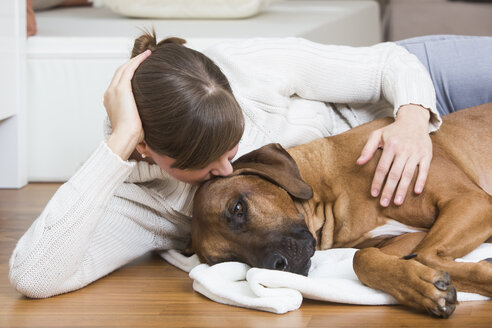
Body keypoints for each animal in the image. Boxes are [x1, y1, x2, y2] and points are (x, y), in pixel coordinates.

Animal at [191, 103, 492, 318]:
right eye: (227, 259)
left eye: (238, 208)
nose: (276, 266)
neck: (332, 187)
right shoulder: (405, 238)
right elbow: (365, 258)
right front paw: (422, 288)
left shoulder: (469, 201)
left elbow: (427, 254)